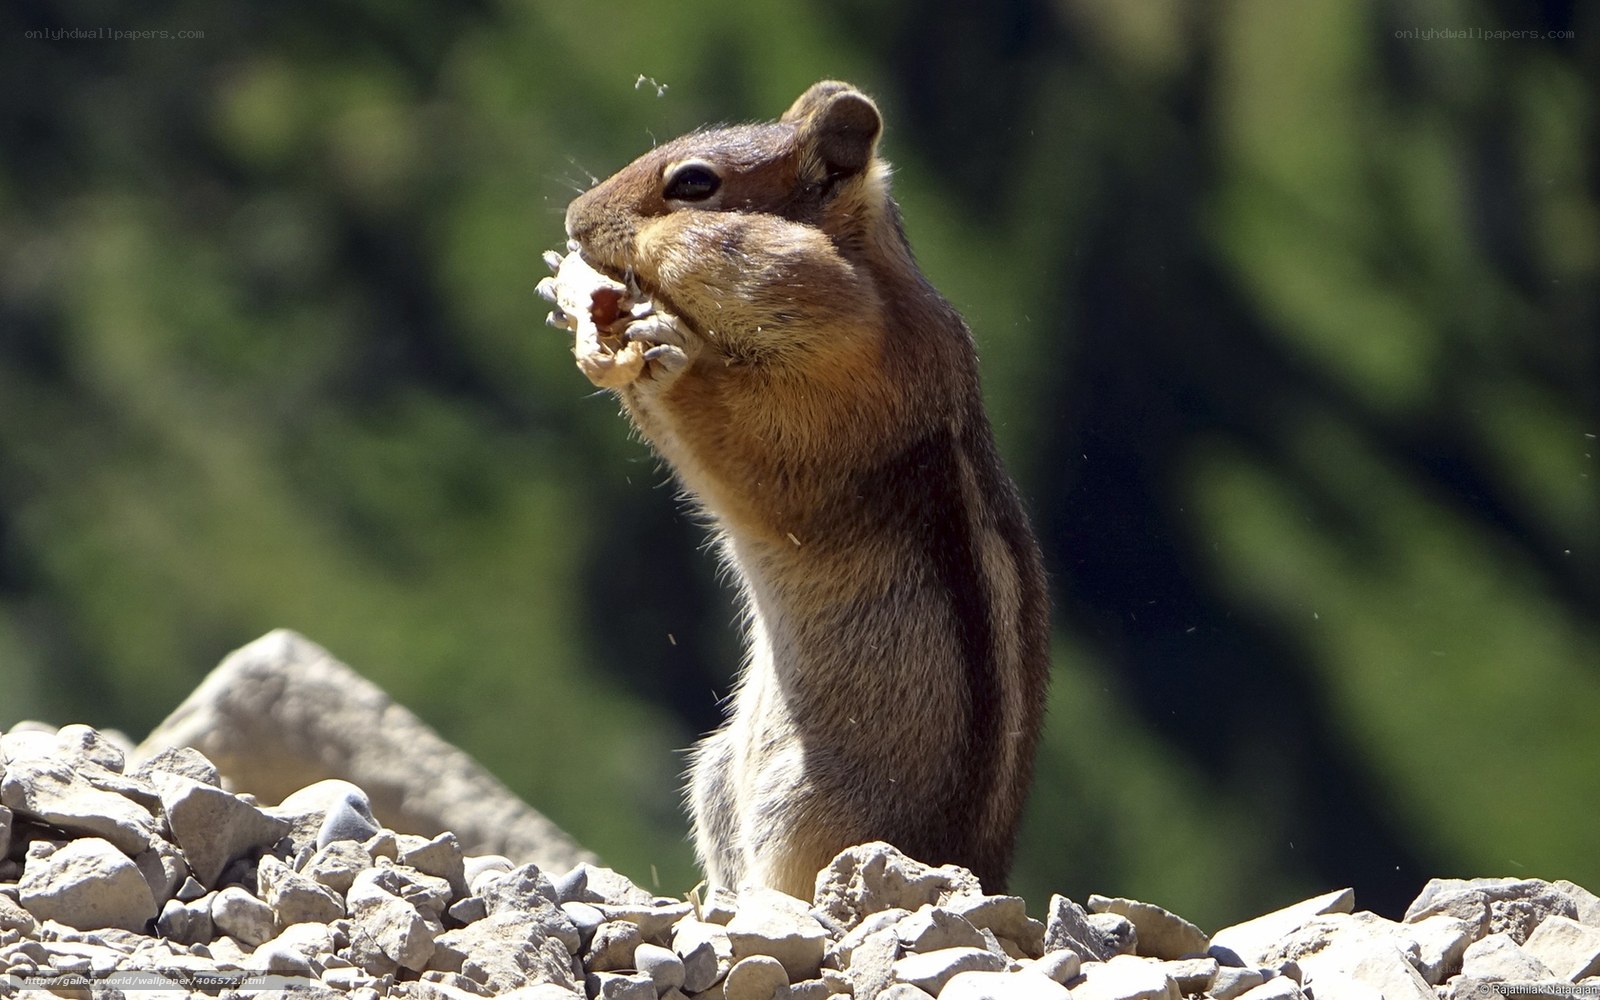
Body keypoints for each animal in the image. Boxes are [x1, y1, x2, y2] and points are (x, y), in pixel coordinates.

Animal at [540, 80, 1050, 898]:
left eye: (694, 185)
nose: (574, 220)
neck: (870, 288)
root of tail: (986, 875)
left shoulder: (848, 388)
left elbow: (755, 448)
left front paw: (663, 350)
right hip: (718, 771)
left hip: (808, 804)